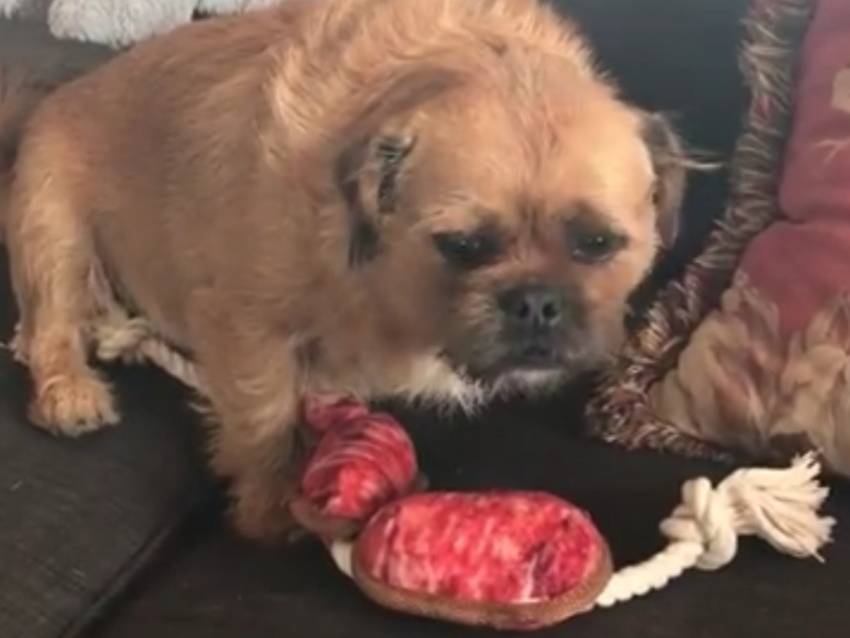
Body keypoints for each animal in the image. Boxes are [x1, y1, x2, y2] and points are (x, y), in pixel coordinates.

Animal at [0, 0, 688, 542]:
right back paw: (69, 393)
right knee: (47, 325)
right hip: (51, 225)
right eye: (462, 245)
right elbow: (264, 420)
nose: (536, 302)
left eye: (598, 243)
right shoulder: (244, 327)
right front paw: (271, 510)